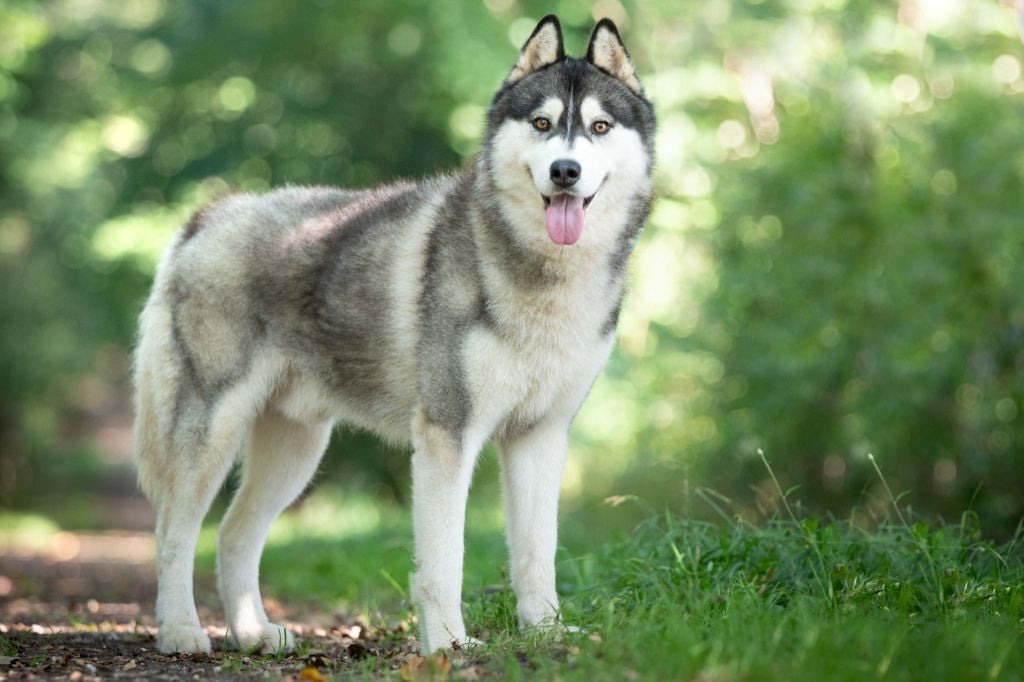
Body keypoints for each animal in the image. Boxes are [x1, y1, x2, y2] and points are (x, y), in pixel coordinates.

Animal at [132, 14, 655, 655]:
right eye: (542, 124)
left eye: (599, 127)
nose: (565, 171)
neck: (544, 278)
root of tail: (208, 216)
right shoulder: (446, 436)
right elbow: (445, 560)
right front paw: (449, 645)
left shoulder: (541, 436)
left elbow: (539, 552)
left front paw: (546, 631)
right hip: (209, 431)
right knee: (172, 532)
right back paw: (181, 631)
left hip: (298, 450)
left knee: (234, 532)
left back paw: (255, 634)